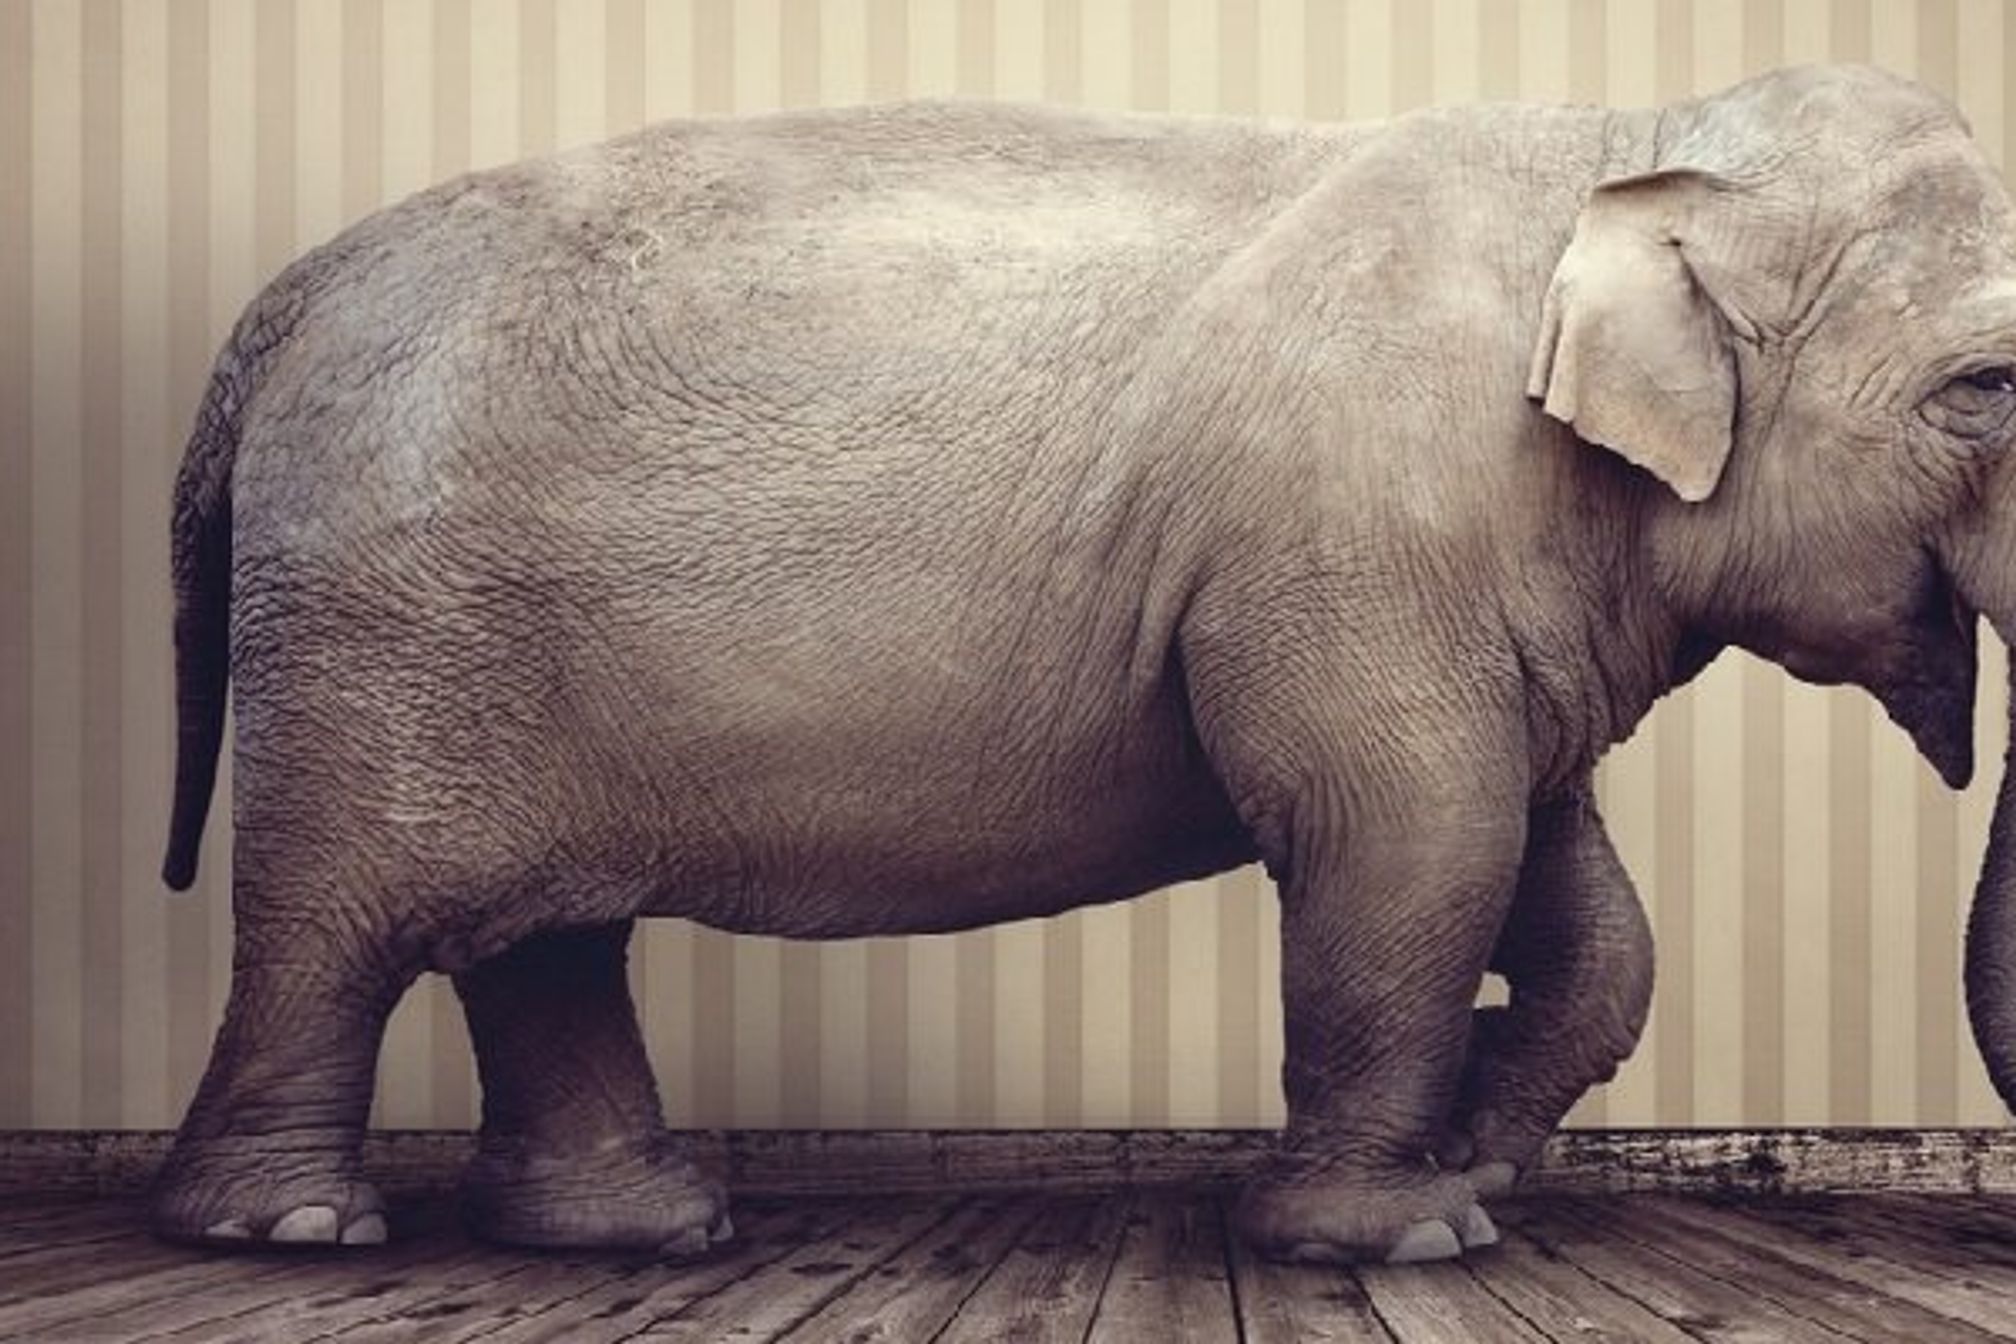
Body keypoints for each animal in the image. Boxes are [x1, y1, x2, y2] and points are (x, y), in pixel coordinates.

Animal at [151, 62, 2016, 1266]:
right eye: (1989, 387)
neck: (1630, 143)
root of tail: (274, 309)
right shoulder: (1353, 540)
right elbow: (1409, 832)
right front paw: (1402, 1231)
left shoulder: (1478, 565)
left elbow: (1558, 868)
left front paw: (1483, 1138)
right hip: (373, 635)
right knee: (335, 923)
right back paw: (290, 1226)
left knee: (544, 935)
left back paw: (634, 1230)